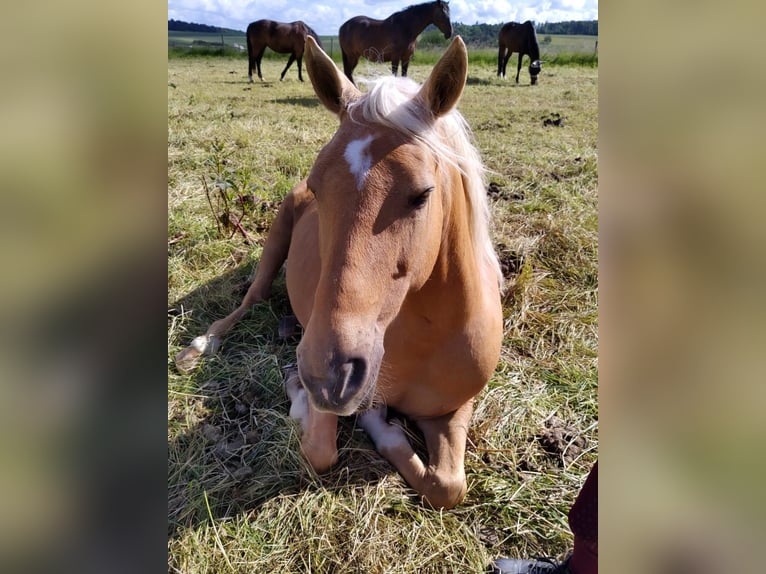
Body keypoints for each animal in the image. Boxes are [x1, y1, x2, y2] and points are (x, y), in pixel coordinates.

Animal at [177, 36, 508, 510]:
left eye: (423, 194)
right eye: (318, 186)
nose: (327, 375)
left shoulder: (453, 409)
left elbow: (447, 486)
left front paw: (382, 426)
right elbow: (320, 450)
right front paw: (308, 396)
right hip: (274, 244)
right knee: (251, 298)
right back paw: (203, 345)